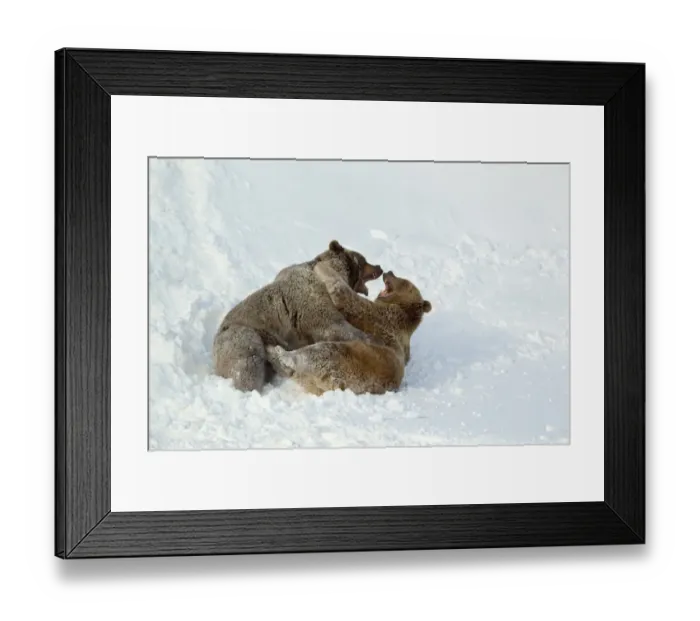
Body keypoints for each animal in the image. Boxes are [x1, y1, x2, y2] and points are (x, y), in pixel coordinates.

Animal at [213, 240, 383, 393]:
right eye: (363, 260)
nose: (379, 267)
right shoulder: (312, 303)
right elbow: (334, 326)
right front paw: (372, 339)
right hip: (242, 334)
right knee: (248, 361)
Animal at [266, 262, 432, 396]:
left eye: (402, 280)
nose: (389, 272)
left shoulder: (379, 317)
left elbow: (345, 296)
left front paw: (322, 266)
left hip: (349, 362)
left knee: (317, 352)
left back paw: (279, 353)